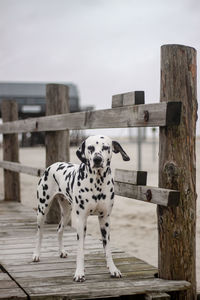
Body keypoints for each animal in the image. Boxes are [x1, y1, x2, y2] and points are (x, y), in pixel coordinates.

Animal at [32, 135, 130, 282]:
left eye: (106, 147)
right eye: (90, 148)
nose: (97, 159)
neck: (97, 182)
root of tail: (52, 165)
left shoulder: (105, 220)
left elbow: (107, 249)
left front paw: (113, 269)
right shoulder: (81, 220)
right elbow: (80, 250)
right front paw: (79, 273)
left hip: (67, 213)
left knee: (59, 230)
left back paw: (61, 251)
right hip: (42, 209)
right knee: (40, 234)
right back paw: (36, 254)